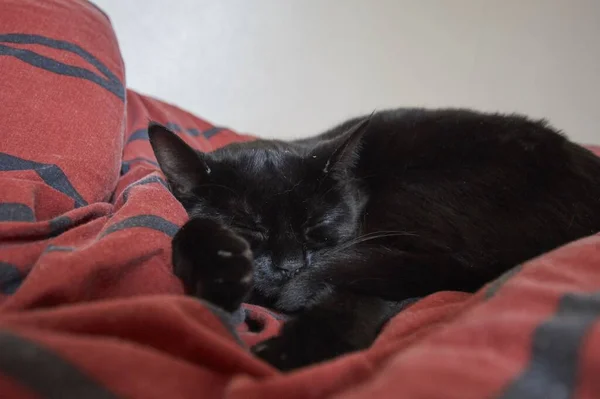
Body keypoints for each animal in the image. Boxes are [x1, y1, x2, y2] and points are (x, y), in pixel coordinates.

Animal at [148, 108, 600, 372]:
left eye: (317, 225)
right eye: (250, 226)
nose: (291, 265)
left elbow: (352, 300)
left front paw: (288, 352)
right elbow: (186, 230)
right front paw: (220, 272)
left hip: (418, 203)